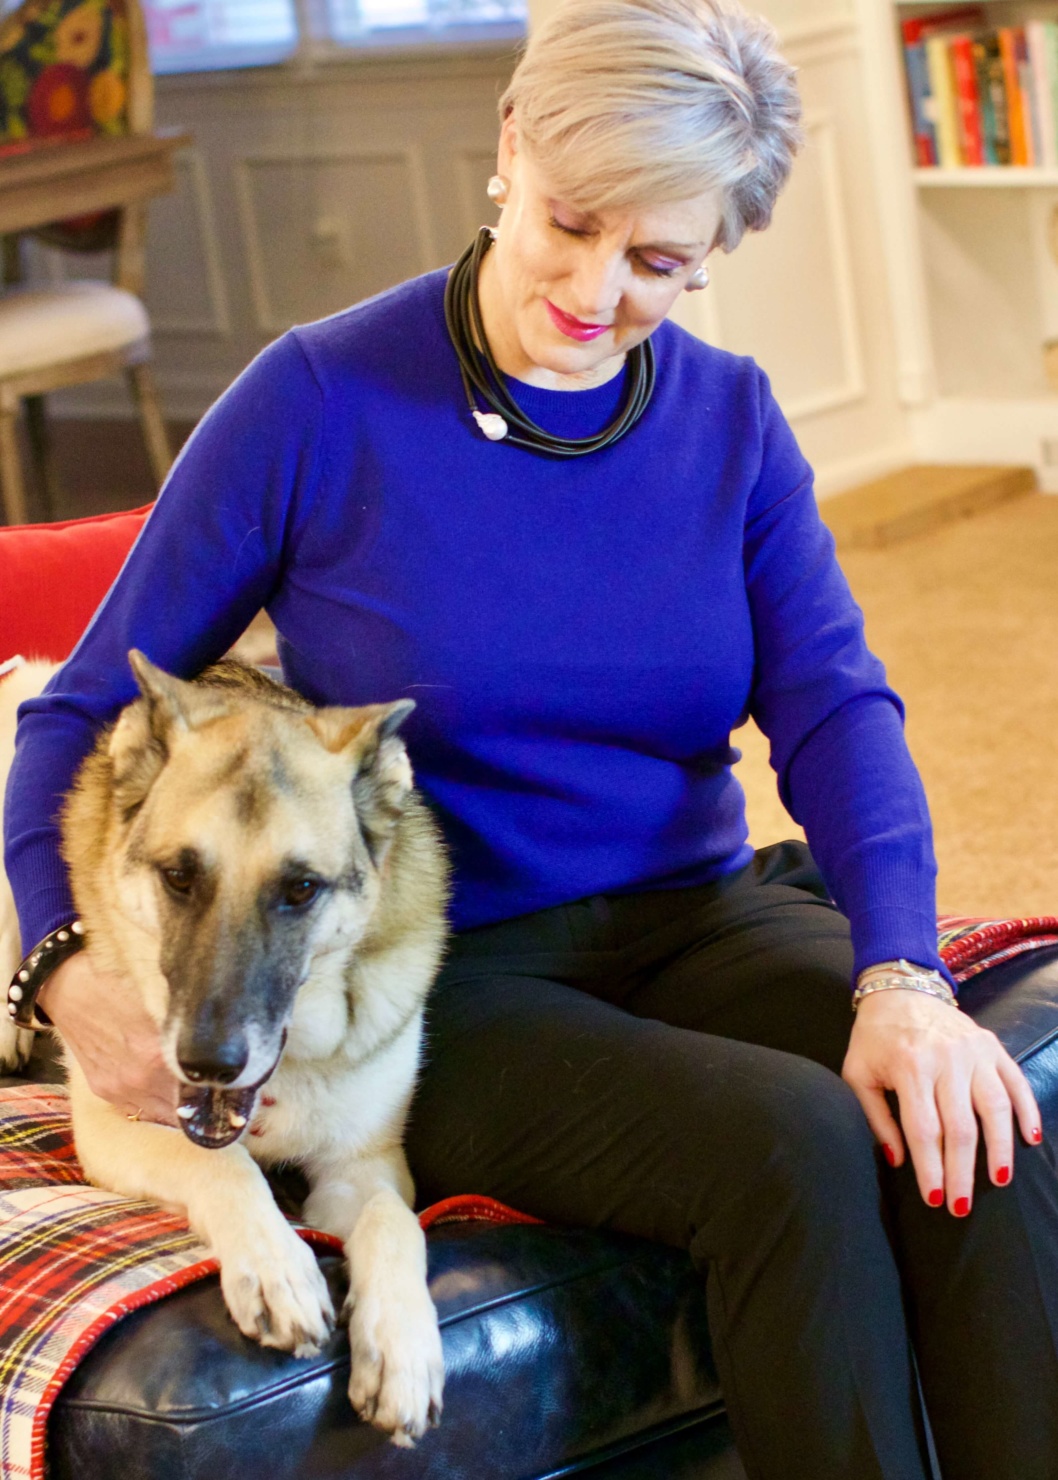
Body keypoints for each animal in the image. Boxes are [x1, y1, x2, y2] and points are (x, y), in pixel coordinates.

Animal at [0, 660, 449, 1444]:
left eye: (301, 889)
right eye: (179, 877)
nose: (209, 1064)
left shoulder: (364, 1168)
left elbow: (395, 1223)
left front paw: (403, 1342)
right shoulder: (119, 1128)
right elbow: (226, 1167)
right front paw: (275, 1265)